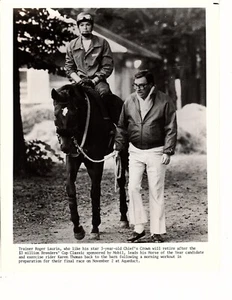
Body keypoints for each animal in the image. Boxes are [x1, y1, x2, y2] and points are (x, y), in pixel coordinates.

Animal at [50, 83, 129, 240]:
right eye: (56, 114)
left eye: (74, 113)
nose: (65, 146)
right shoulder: (73, 160)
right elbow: (70, 189)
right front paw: (77, 229)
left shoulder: (96, 162)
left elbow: (94, 192)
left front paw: (94, 227)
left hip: (122, 154)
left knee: (122, 181)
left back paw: (124, 218)